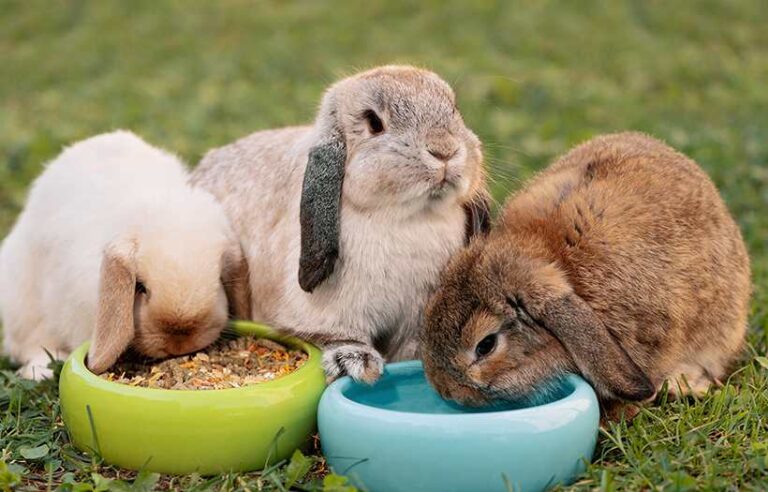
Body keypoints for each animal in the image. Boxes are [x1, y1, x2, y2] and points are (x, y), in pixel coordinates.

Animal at [194, 63, 492, 382]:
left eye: (455, 108)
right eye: (374, 122)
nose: (444, 150)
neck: (409, 217)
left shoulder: (417, 311)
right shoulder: (330, 313)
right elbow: (336, 335)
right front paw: (357, 362)